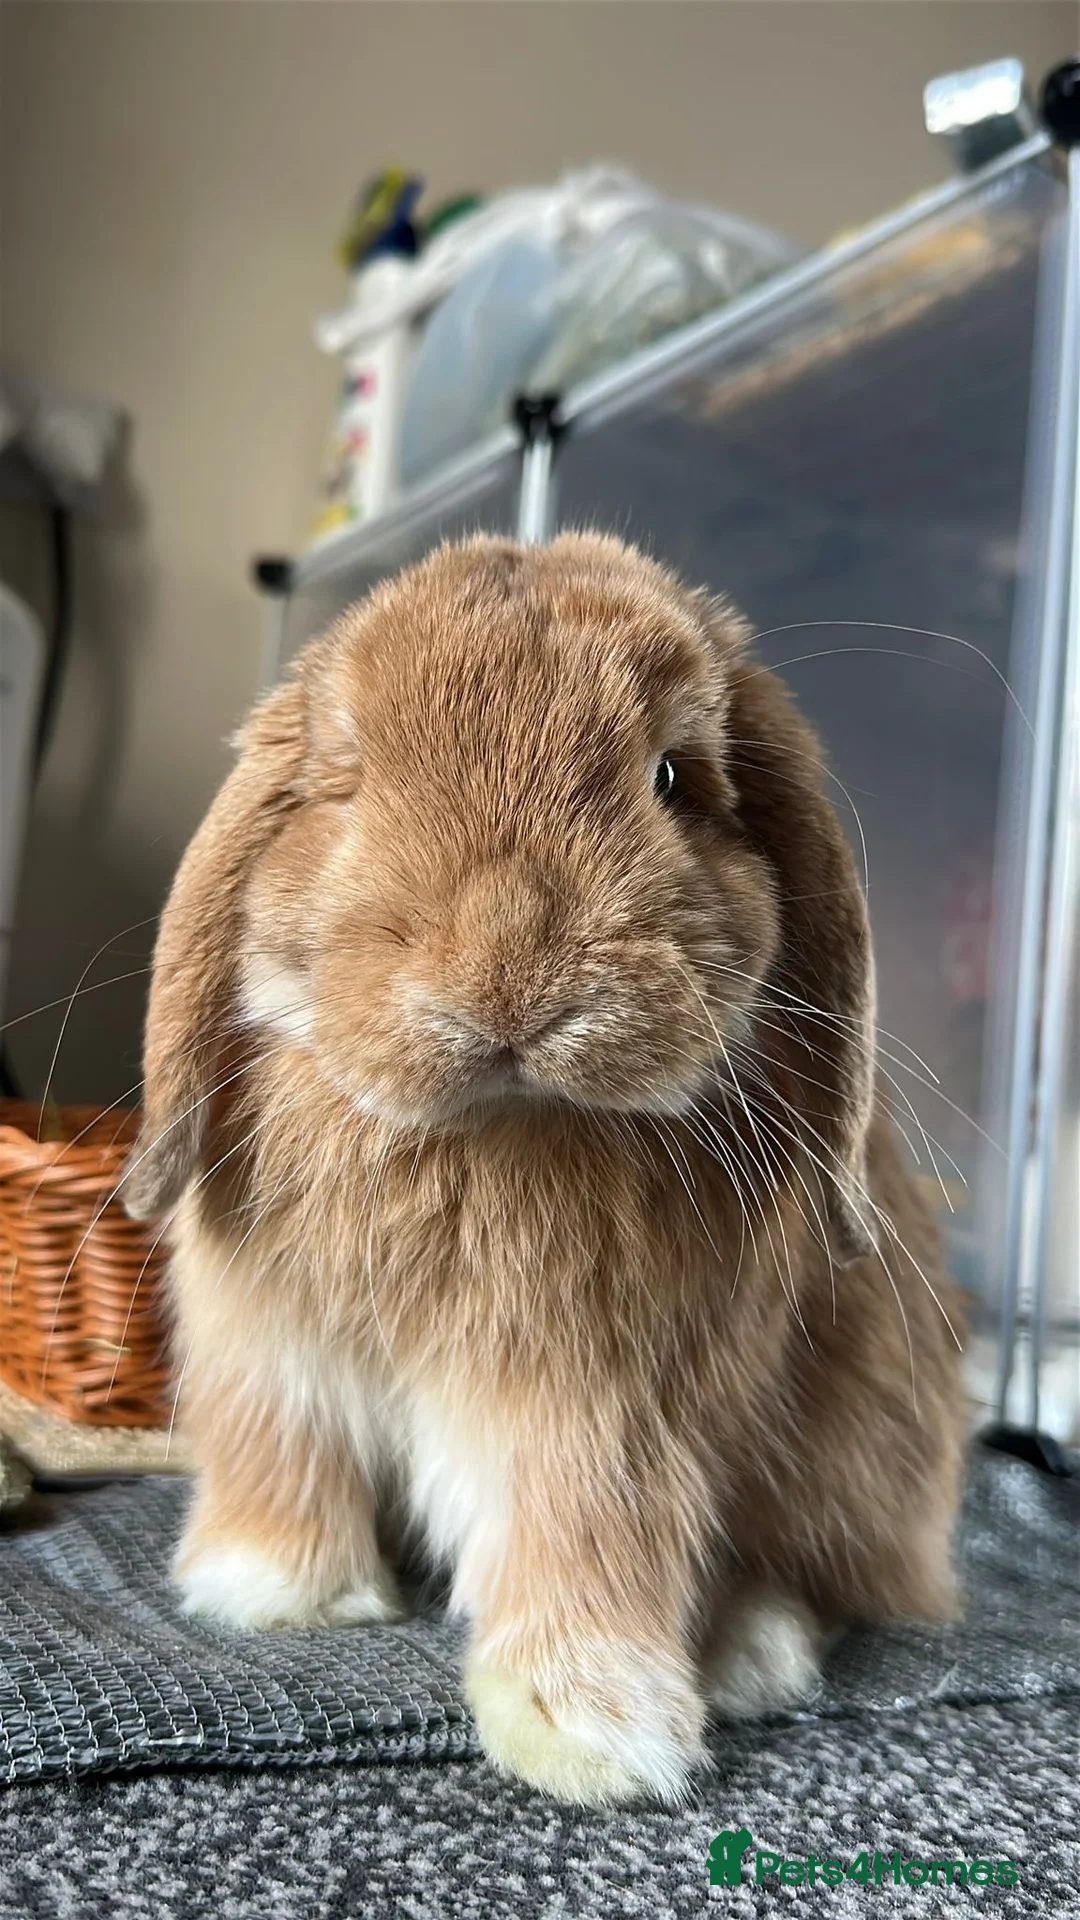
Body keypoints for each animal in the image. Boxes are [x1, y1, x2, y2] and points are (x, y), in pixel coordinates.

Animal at [125, 532, 966, 1809]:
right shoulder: (274, 1359)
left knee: (809, 1580)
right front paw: (275, 1597)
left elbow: (581, 1533)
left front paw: (592, 1734)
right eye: (349, 780)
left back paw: (747, 1659)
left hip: (858, 1460)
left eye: (672, 777)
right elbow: (289, 1460)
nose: (508, 972)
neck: (490, 1133)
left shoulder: (602, 1411)